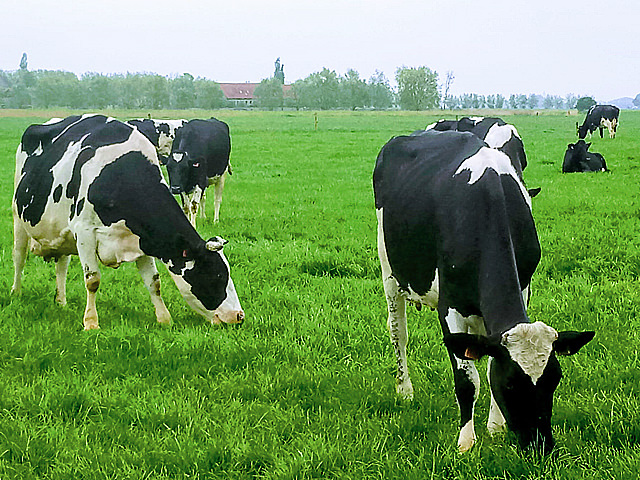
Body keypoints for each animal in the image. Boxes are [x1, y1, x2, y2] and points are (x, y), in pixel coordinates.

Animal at [11, 114, 244, 330]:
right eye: (217, 275)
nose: (239, 315)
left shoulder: (142, 239)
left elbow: (154, 282)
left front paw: (164, 319)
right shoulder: (84, 232)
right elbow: (92, 280)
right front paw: (91, 323)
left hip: (62, 234)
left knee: (62, 266)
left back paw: (61, 301)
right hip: (18, 219)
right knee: (19, 258)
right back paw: (16, 292)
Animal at [374, 130, 594, 454]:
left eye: (555, 380)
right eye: (511, 384)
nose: (541, 445)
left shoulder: (524, 287)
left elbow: (488, 361)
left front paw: (496, 427)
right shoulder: (450, 307)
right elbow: (468, 379)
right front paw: (466, 442)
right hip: (389, 268)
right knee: (398, 332)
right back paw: (405, 390)